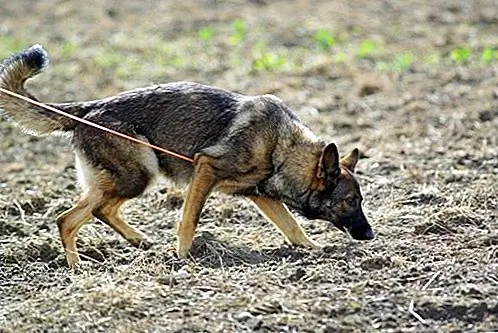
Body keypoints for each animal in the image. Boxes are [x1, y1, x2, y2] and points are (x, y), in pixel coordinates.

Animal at [0, 45, 374, 266]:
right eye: (349, 201)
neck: (282, 150)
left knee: (86, 214)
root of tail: (91, 107)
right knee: (76, 217)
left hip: (124, 180)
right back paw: (79, 265)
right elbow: (189, 220)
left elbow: (293, 228)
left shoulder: (262, 197)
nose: (371, 236)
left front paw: (314, 249)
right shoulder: (205, 170)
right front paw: (181, 256)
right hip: (138, 175)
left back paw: (124, 246)